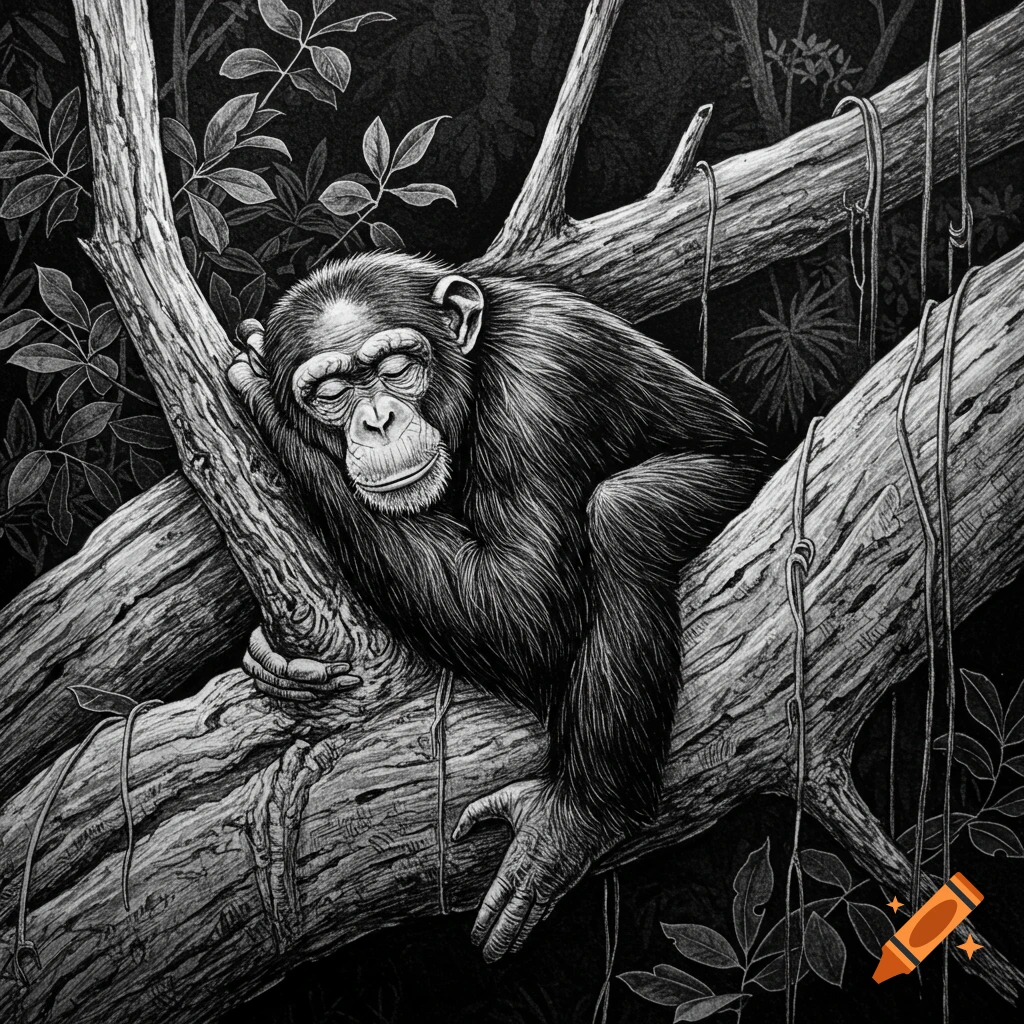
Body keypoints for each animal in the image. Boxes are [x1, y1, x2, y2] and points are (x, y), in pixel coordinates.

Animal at [227, 250, 769, 962]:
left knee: (624, 517)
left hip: (737, 484)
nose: (377, 421)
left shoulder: (540, 393)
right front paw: (274, 661)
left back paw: (576, 821)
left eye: (394, 367)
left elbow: (526, 609)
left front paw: (258, 391)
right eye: (331, 391)